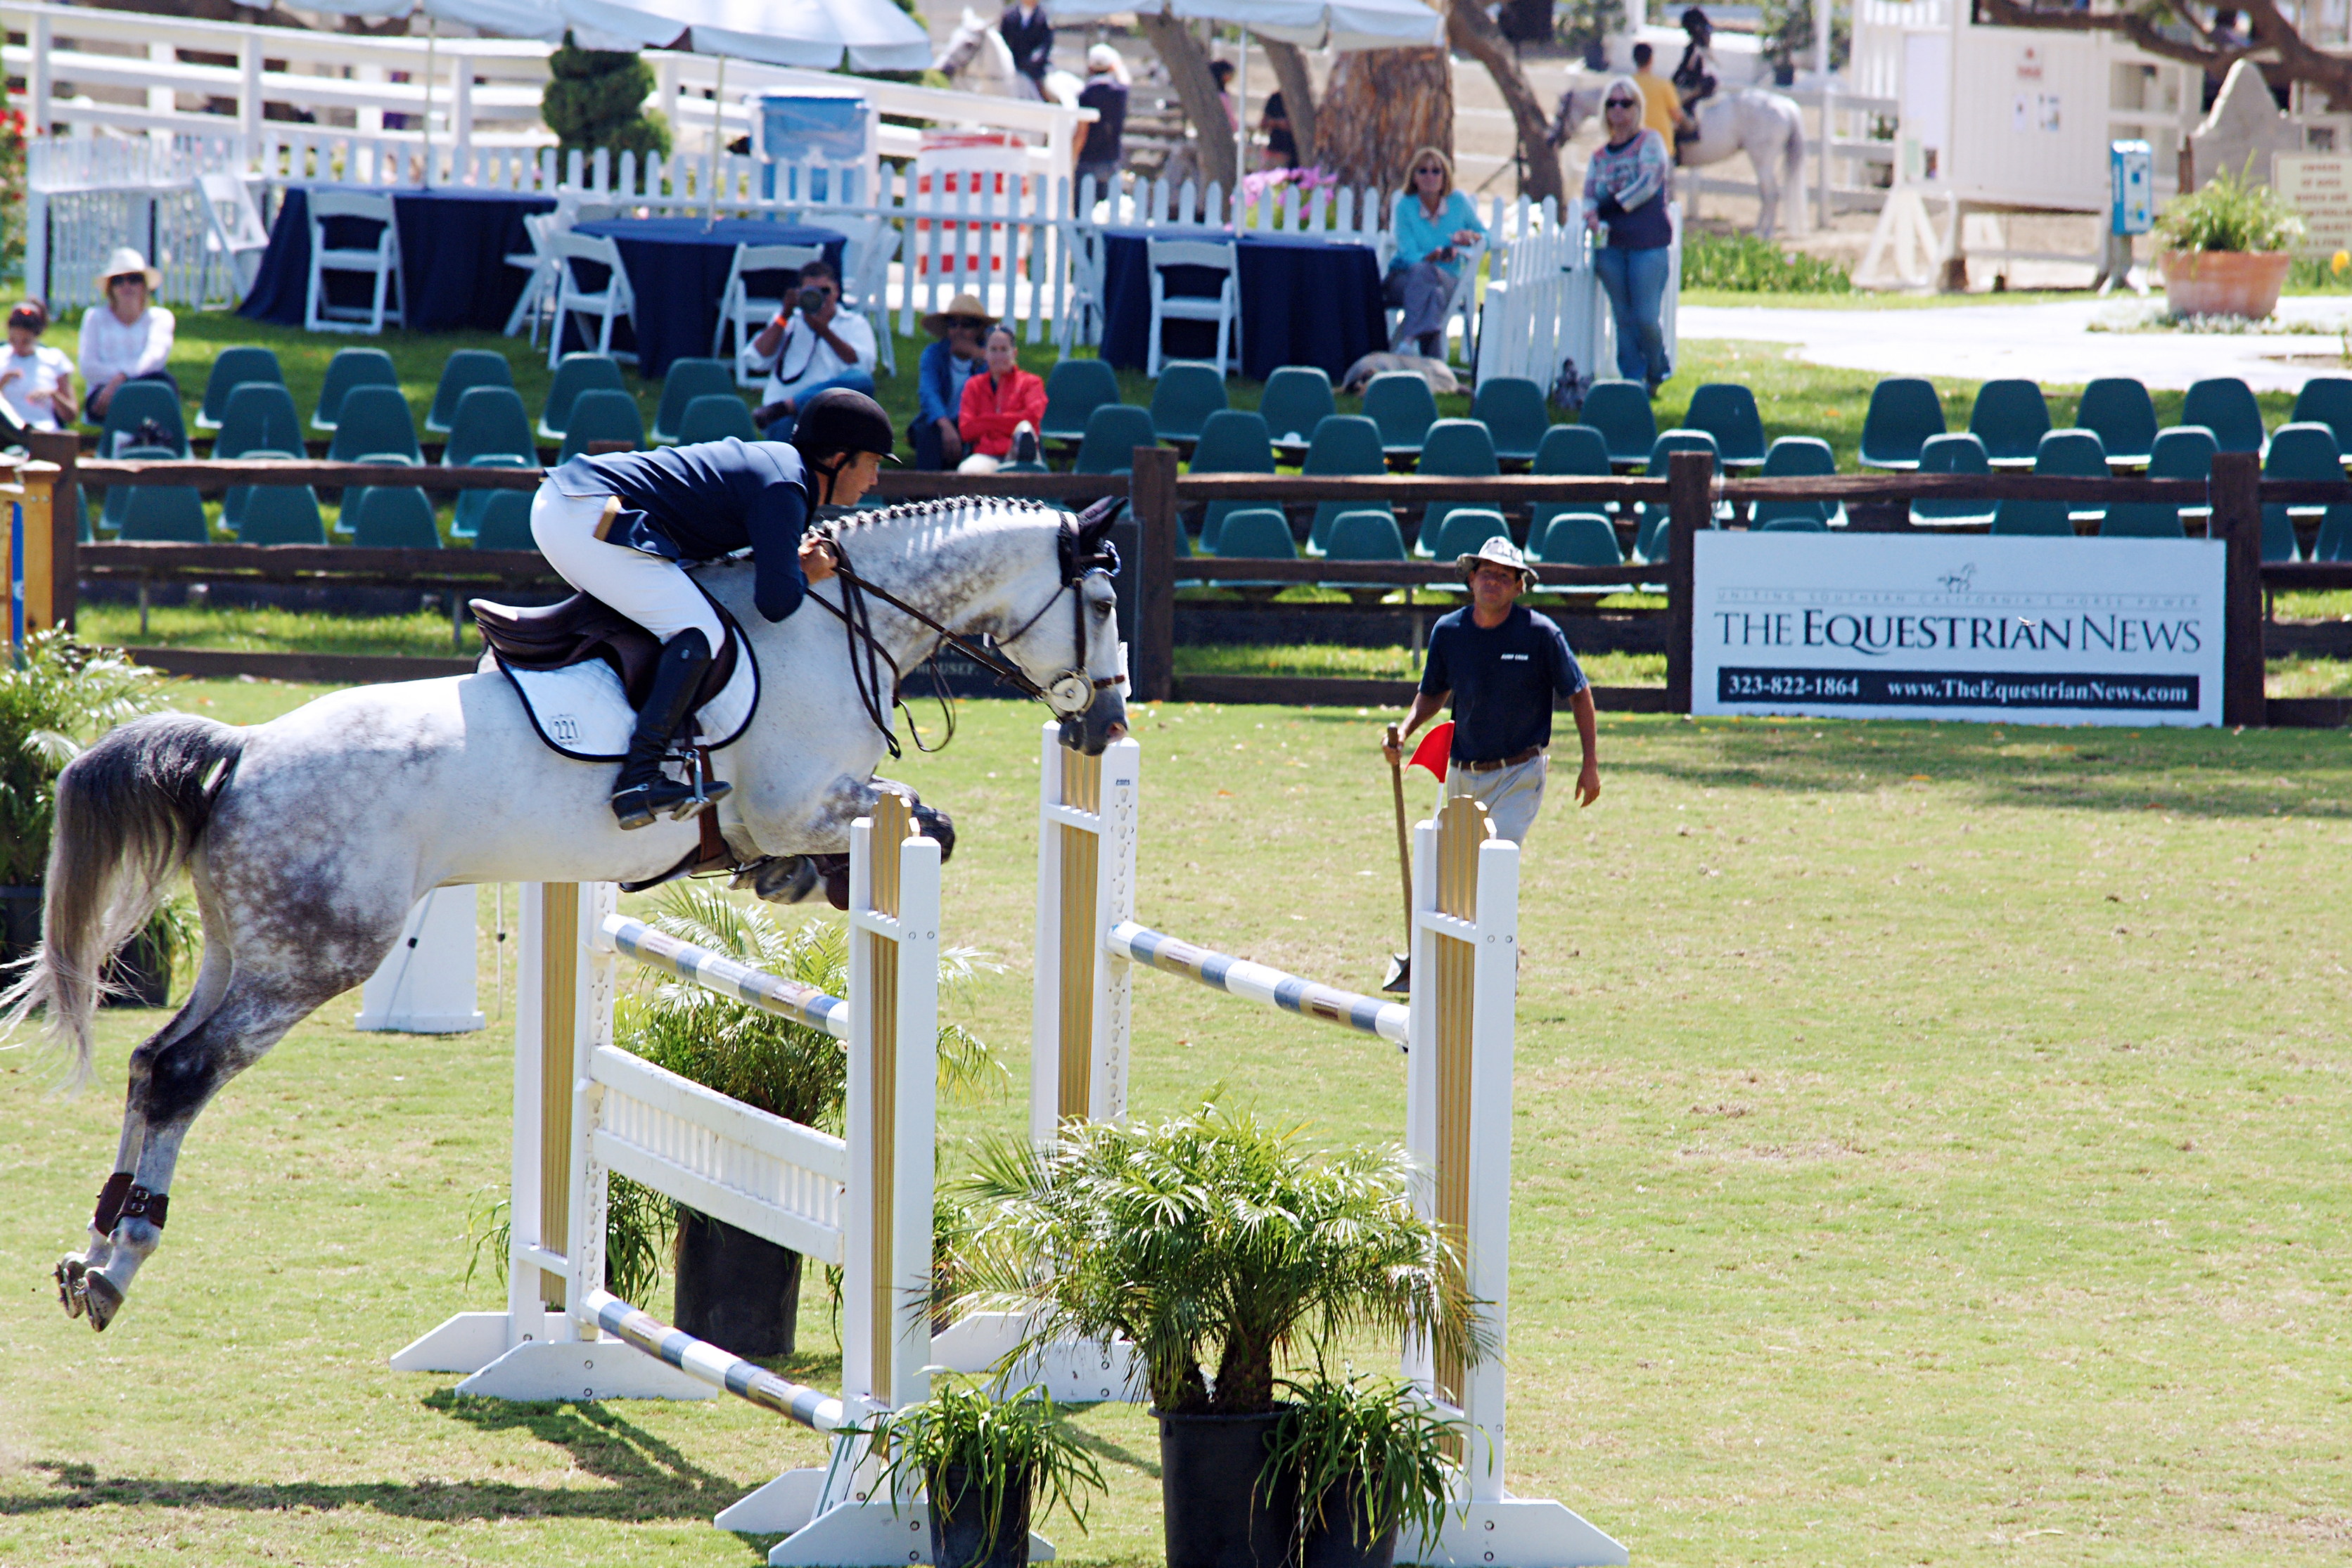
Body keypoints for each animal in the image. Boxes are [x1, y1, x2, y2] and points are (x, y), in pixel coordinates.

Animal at [3, 498, 1128, 1333]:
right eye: (1107, 598)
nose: (1108, 724)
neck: (832, 622)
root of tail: (241, 753)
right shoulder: (799, 799)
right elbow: (922, 824)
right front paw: (824, 873)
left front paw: (790, 884)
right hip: (313, 956)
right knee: (185, 1073)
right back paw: (117, 1265)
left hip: (246, 947)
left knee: (152, 1062)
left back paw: (89, 1256)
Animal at [1552, 83, 1807, 239]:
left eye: (1559, 113)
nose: (1550, 139)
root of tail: (1786, 105)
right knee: (1767, 194)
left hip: (1761, 158)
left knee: (1771, 194)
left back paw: (1763, 234)